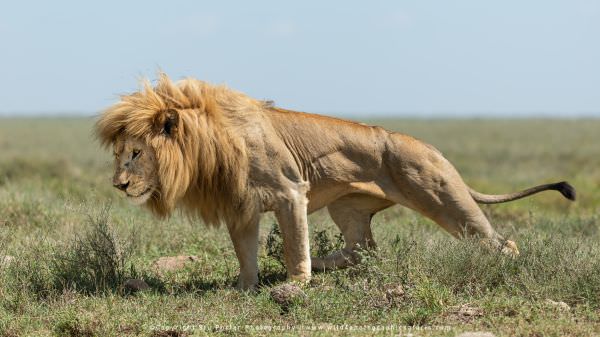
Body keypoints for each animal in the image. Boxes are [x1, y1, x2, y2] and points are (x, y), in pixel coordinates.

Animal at [96, 73, 576, 288]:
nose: (118, 185)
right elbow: (246, 254)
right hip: (348, 206)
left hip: (445, 200)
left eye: (136, 154)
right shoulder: (242, 206)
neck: (208, 147)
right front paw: (245, 287)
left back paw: (501, 269)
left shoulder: (290, 192)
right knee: (365, 251)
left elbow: (294, 245)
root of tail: (434, 149)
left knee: (500, 243)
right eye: (118, 155)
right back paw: (331, 264)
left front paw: (296, 284)